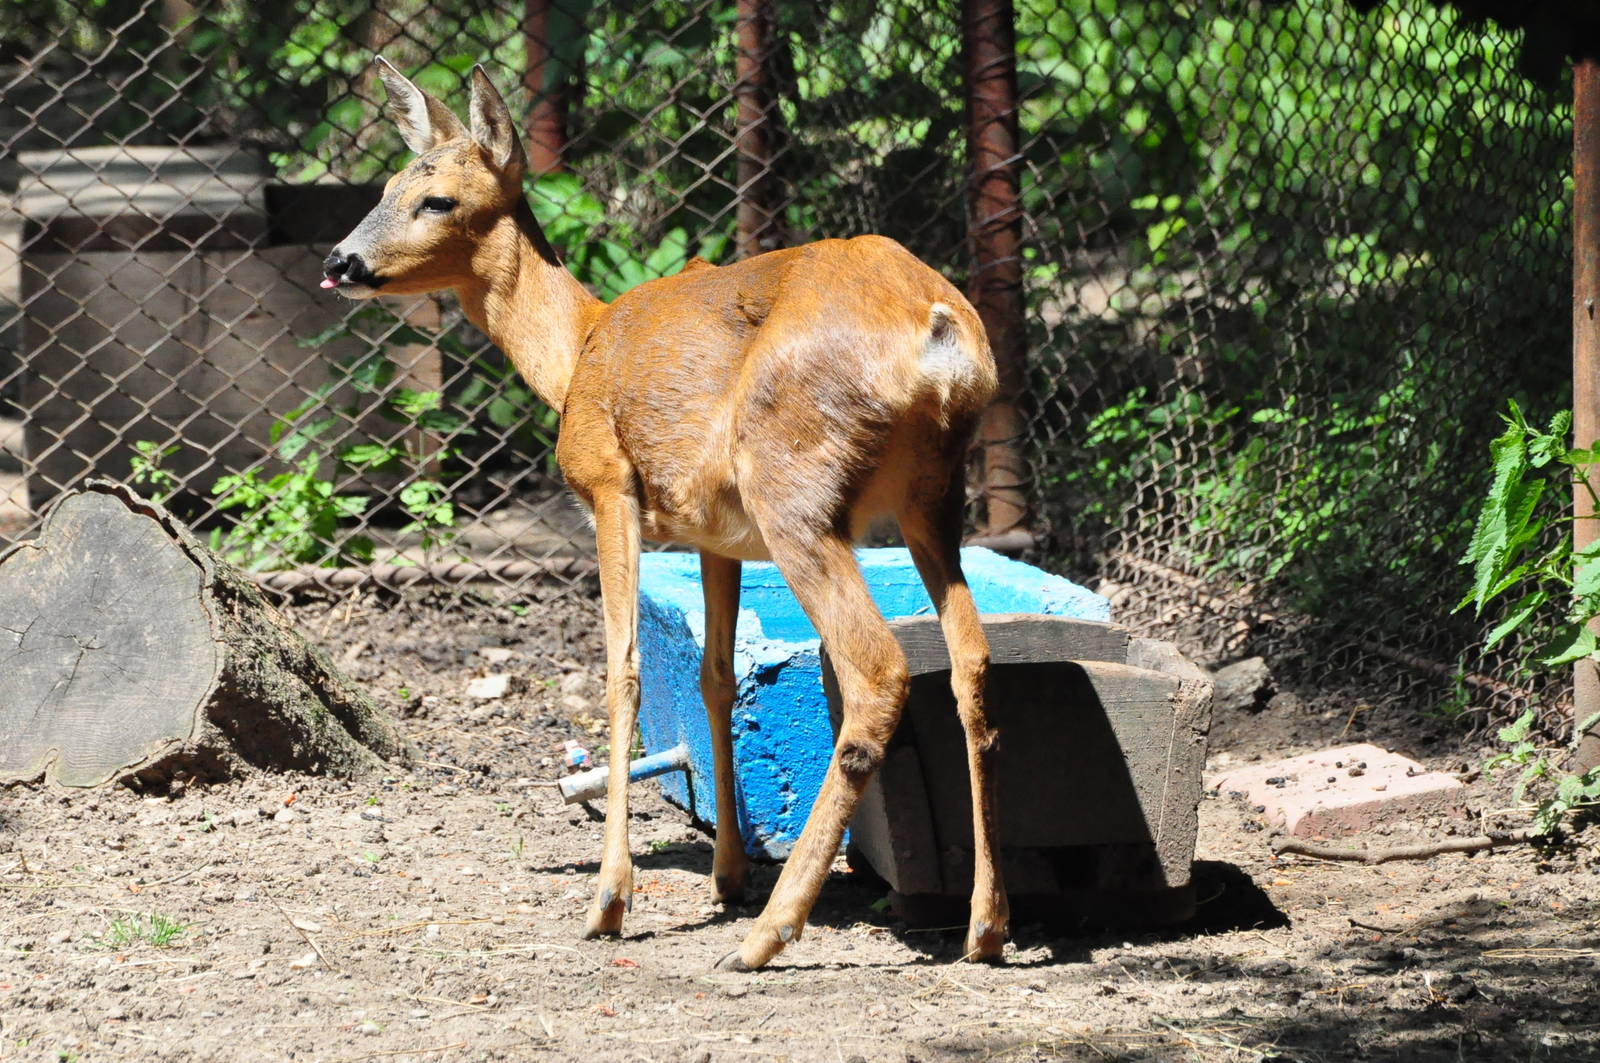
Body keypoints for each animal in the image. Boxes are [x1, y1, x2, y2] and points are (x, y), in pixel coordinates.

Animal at [322, 60, 1007, 970]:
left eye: (436, 200)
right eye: (388, 186)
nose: (340, 258)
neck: (575, 352)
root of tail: (942, 332)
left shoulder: (609, 486)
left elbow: (622, 668)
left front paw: (610, 898)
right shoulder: (716, 533)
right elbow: (713, 674)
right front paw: (726, 875)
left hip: (795, 484)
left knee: (879, 667)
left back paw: (768, 933)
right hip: (933, 495)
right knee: (972, 660)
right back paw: (985, 923)